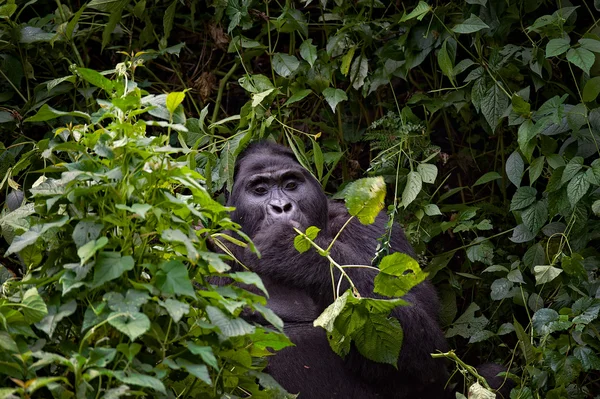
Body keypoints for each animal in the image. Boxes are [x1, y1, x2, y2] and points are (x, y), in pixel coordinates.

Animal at [220, 142, 506, 398]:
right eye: (260, 190)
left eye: (291, 185)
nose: (281, 207)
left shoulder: (371, 225)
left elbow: (427, 349)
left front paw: (292, 249)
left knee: (492, 374)